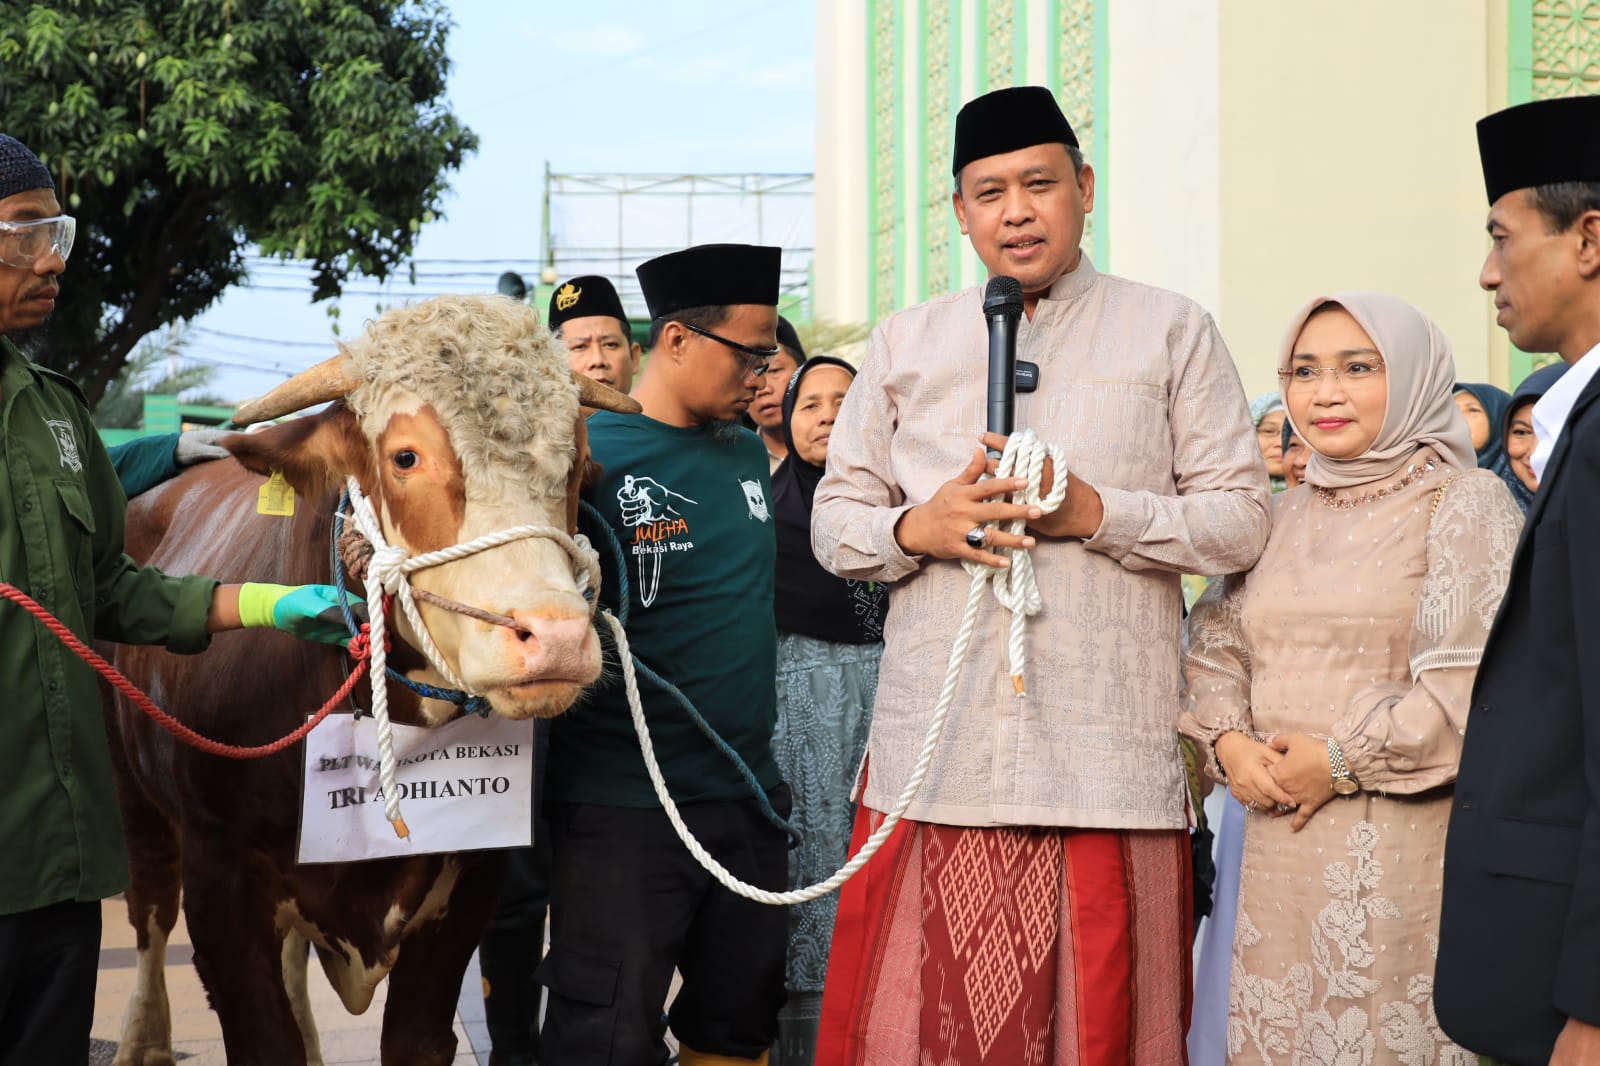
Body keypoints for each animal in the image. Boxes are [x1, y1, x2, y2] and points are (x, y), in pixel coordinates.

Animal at [98, 292, 636, 1062]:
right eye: (405, 456)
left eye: (578, 461)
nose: (556, 638)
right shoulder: (219, 879)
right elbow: (265, 1038)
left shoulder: (472, 882)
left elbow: (413, 1036)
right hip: (129, 784)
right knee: (148, 914)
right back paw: (143, 1039)